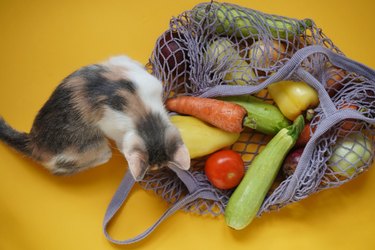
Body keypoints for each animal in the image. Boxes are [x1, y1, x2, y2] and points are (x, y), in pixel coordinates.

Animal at [0, 55, 191, 180]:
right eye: (155, 168)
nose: (154, 171)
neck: (144, 112)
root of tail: (34, 140)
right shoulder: (112, 124)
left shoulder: (124, 64)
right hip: (92, 149)